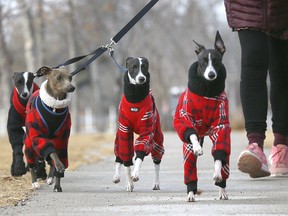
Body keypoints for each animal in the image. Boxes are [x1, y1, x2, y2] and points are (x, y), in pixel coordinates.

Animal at [113, 56, 165, 192]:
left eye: (145, 66)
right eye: (133, 67)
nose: (142, 78)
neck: (135, 98)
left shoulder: (147, 129)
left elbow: (139, 154)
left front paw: (135, 174)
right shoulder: (124, 130)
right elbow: (126, 161)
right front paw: (129, 183)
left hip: (157, 138)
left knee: (157, 161)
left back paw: (156, 183)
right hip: (118, 136)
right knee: (118, 156)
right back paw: (116, 176)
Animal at [172, 31, 231, 202]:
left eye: (216, 60)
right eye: (203, 61)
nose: (211, 74)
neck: (207, 90)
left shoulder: (221, 125)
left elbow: (219, 154)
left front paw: (217, 173)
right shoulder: (185, 117)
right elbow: (190, 134)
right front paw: (198, 148)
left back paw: (222, 190)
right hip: (190, 147)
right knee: (190, 164)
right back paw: (191, 192)